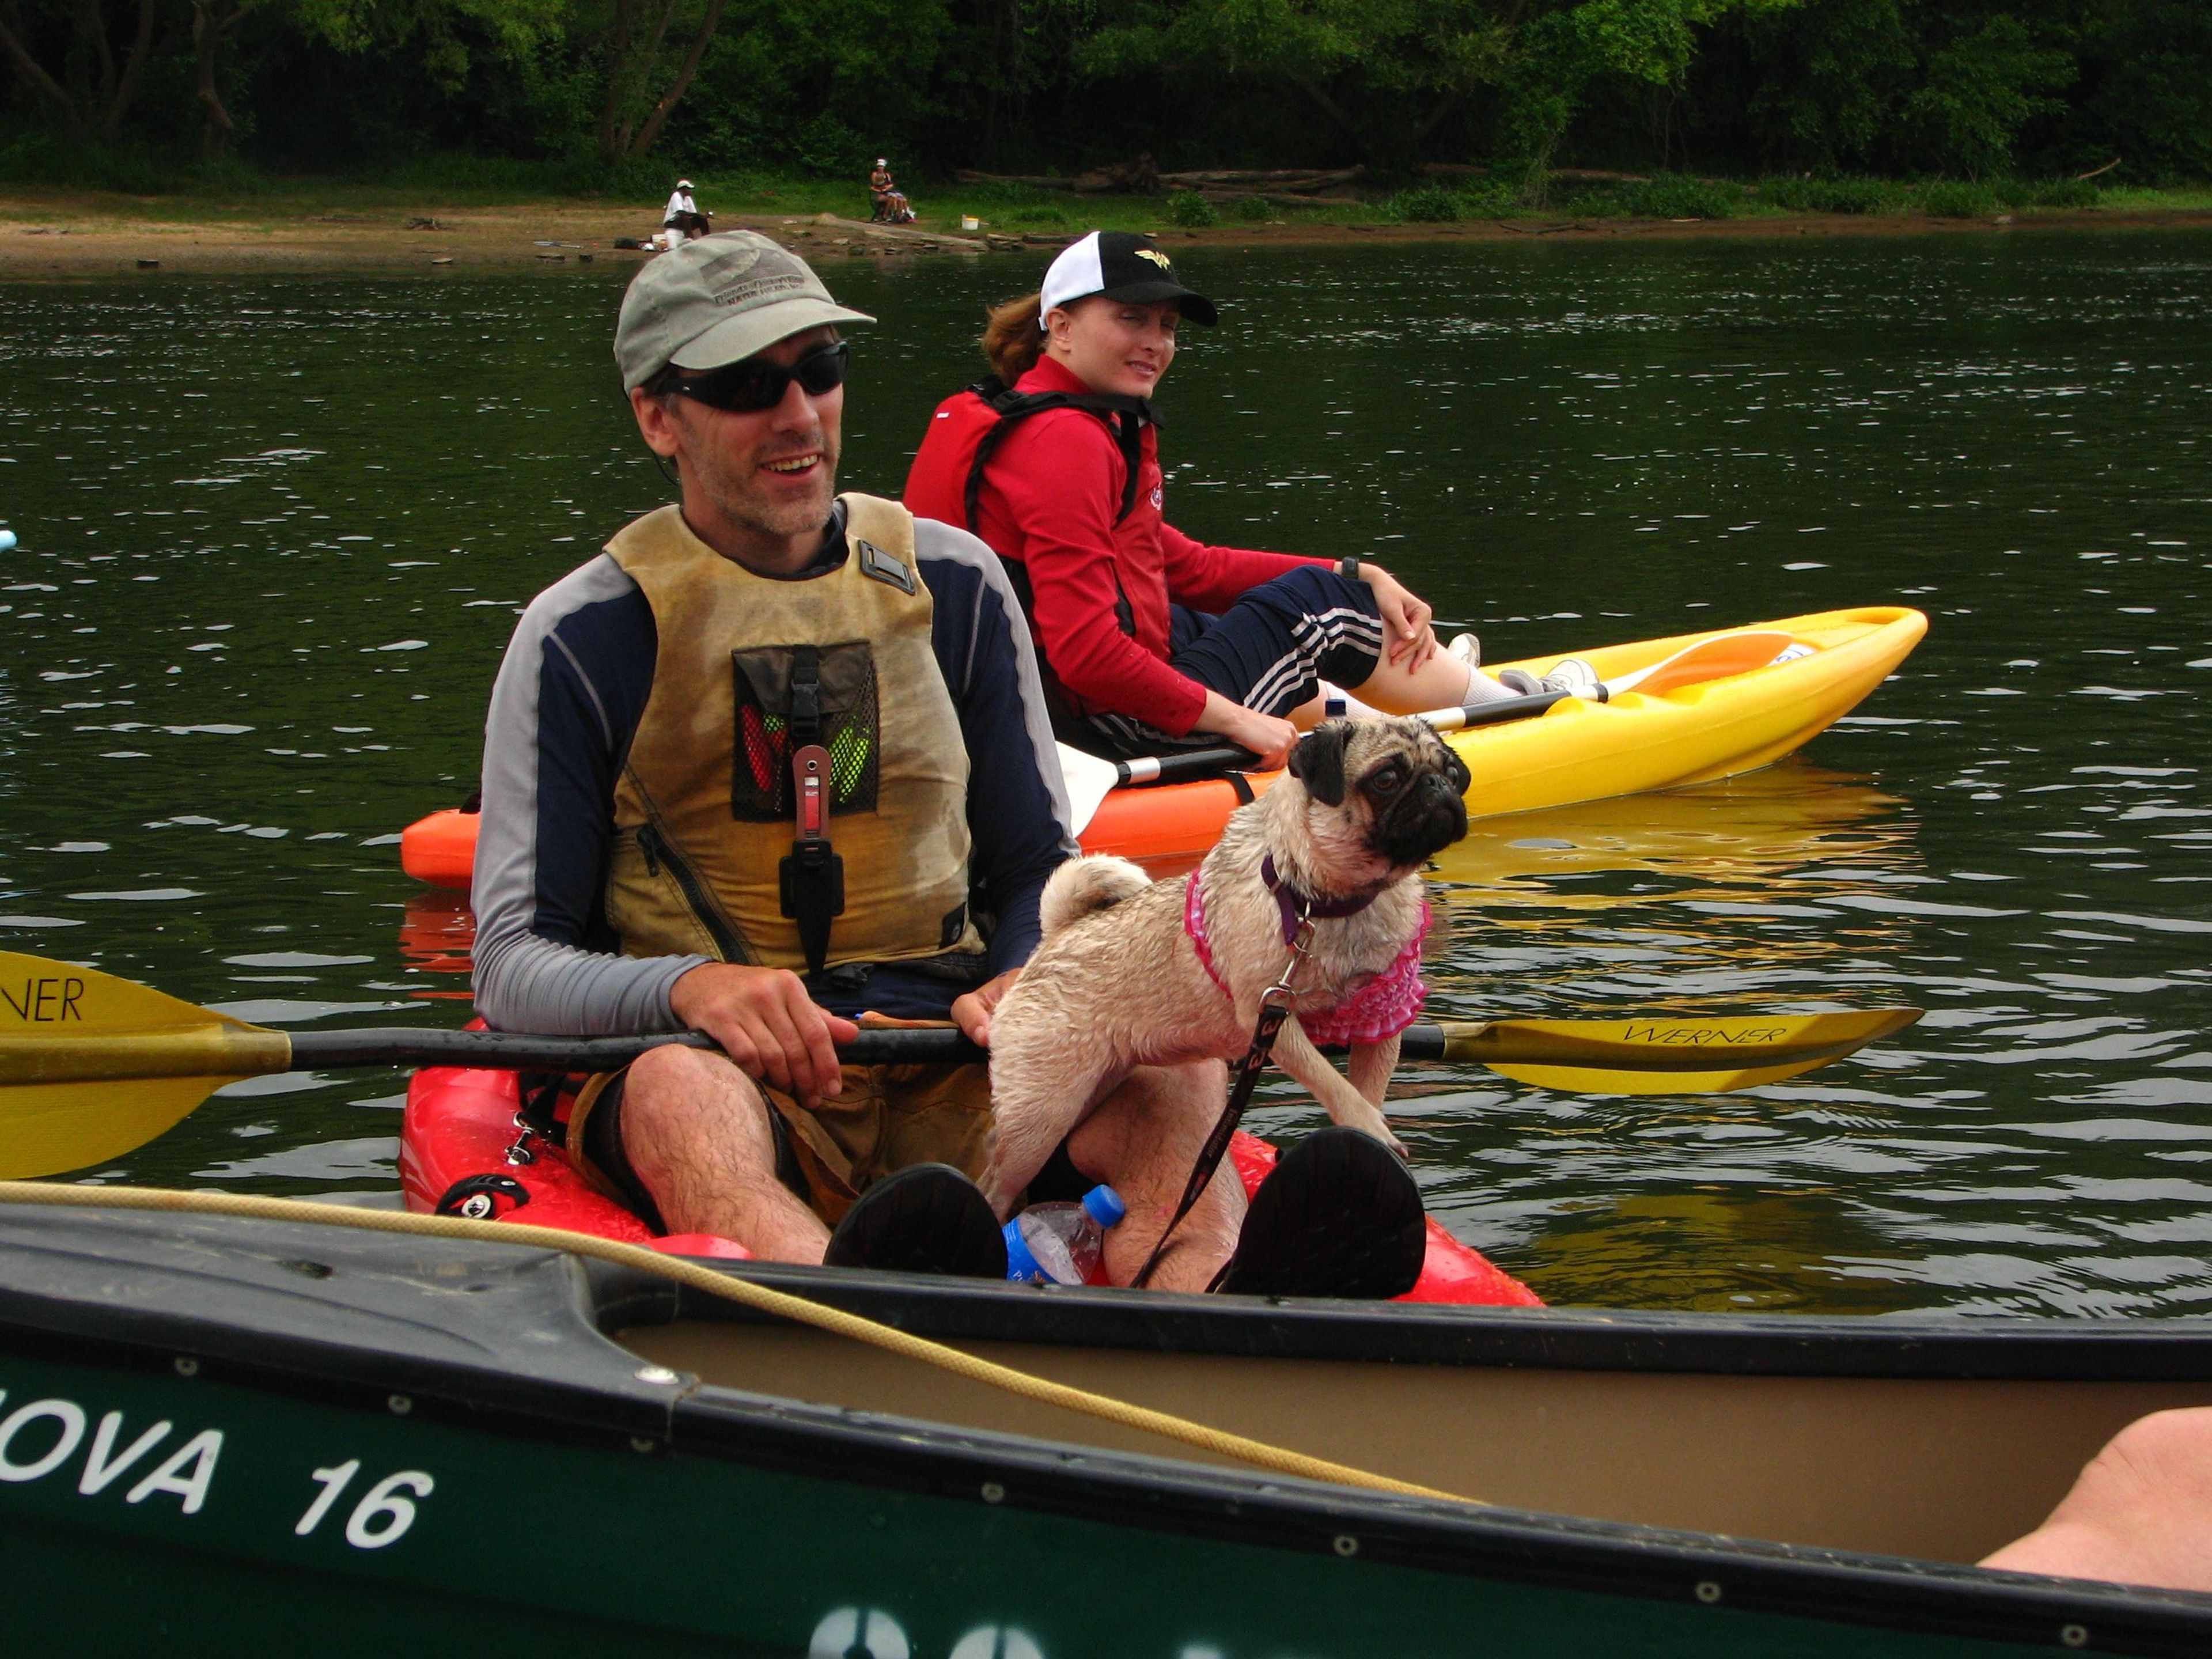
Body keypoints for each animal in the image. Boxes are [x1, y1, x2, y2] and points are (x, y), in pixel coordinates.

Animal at [982, 717, 1468, 1221]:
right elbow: (1331, 1081)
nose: (1437, 786)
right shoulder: (1269, 1014)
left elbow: (1367, 1085)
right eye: (1386, 779)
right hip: (1043, 1114)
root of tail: (1056, 937)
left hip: (1090, 1088)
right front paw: (1365, 1123)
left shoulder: (1383, 1016)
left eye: (1453, 774)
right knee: (997, 1177)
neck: (1329, 903)